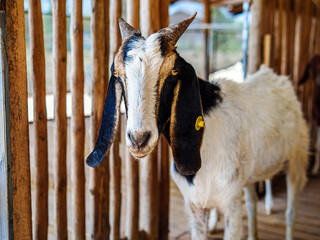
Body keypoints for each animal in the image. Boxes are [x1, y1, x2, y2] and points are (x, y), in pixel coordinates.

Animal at [85, 14, 310, 239]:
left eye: (174, 70)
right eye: (117, 72)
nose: (139, 138)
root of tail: (272, 75)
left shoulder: (231, 203)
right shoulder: (196, 205)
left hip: (296, 158)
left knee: (290, 211)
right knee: (253, 202)